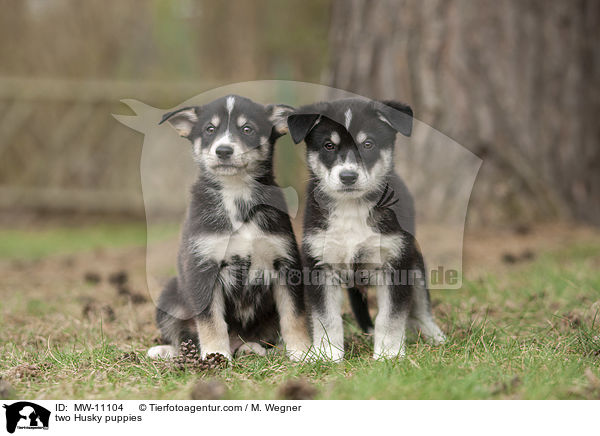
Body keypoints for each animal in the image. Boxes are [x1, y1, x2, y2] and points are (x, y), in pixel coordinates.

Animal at [148, 95, 312, 362]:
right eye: (209, 129)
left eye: (247, 129)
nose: (223, 151)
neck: (237, 194)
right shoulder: (204, 266)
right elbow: (211, 320)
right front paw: (216, 354)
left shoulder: (286, 263)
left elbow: (294, 315)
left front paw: (302, 351)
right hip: (169, 296)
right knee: (183, 334)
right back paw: (167, 350)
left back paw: (252, 347)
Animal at [286, 99, 446, 362]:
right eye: (329, 145)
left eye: (368, 144)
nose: (348, 177)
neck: (352, 209)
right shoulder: (320, 264)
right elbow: (326, 317)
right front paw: (328, 354)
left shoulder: (395, 263)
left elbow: (390, 317)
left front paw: (389, 354)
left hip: (414, 262)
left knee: (421, 307)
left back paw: (435, 336)